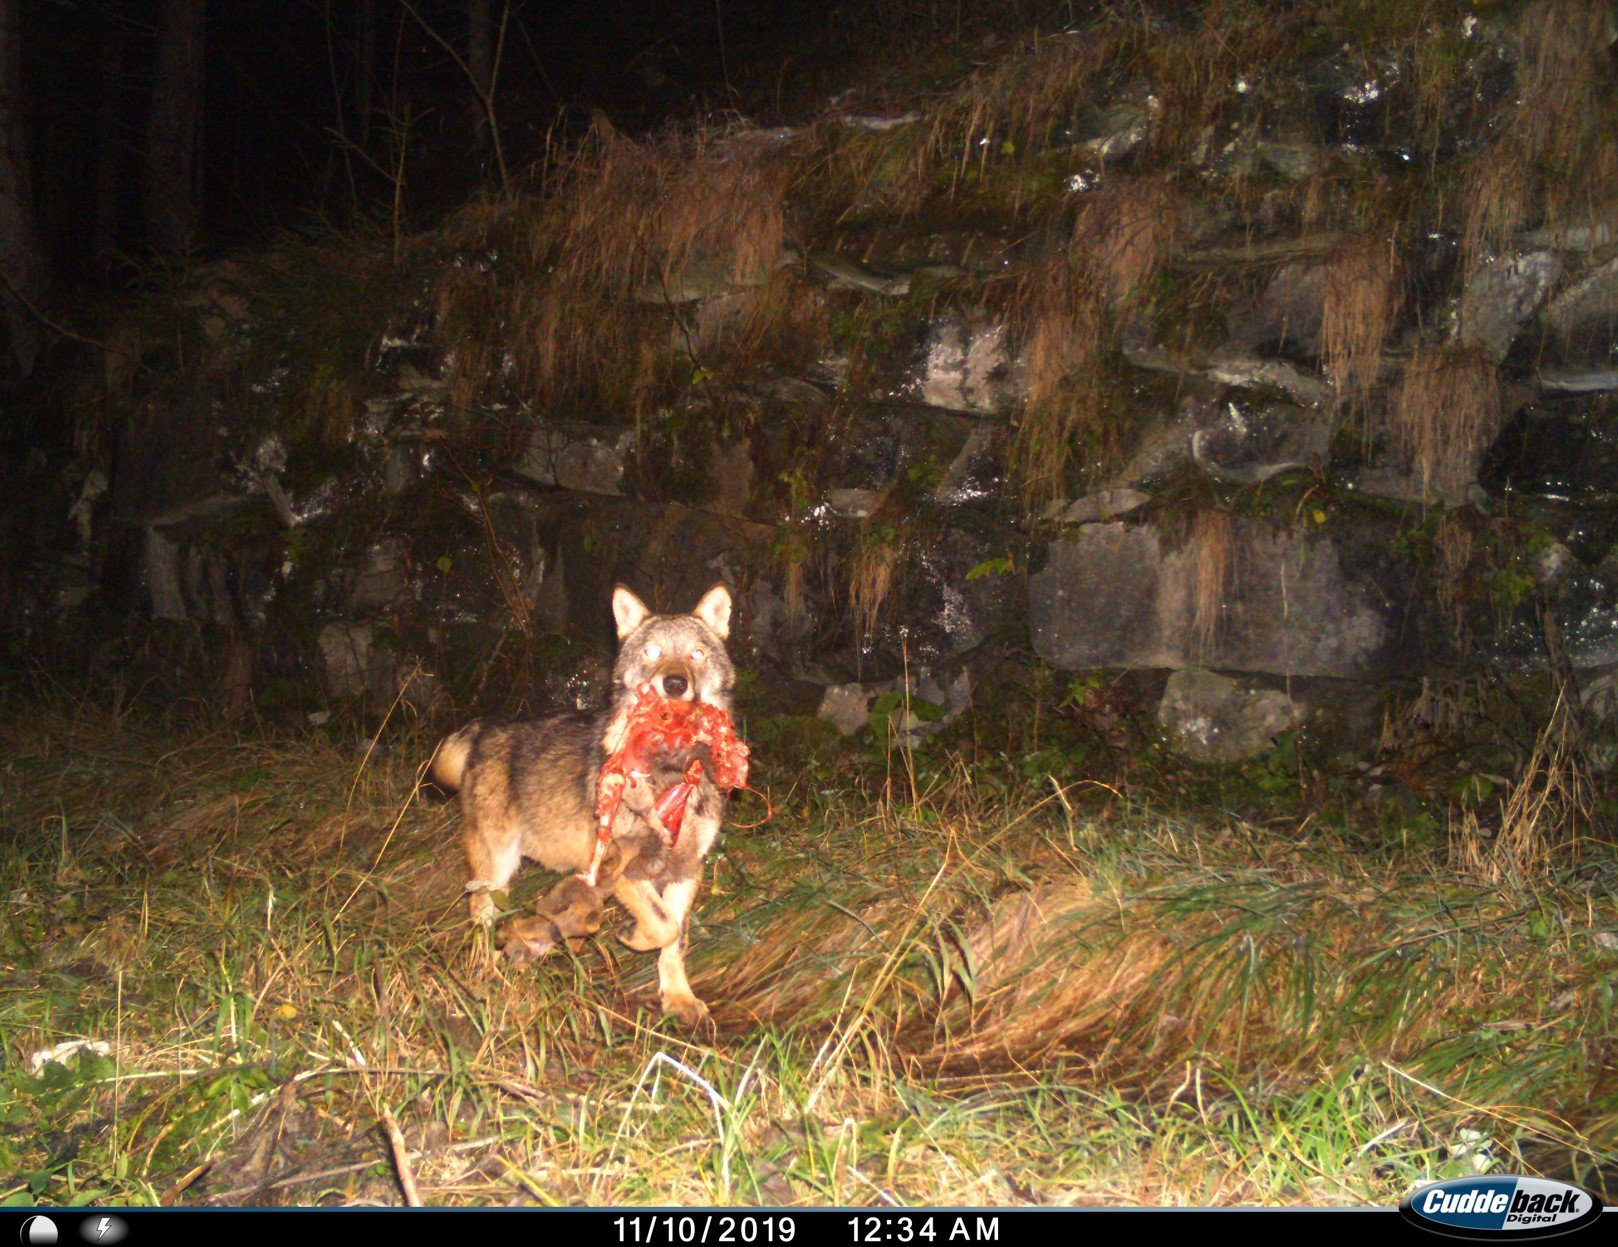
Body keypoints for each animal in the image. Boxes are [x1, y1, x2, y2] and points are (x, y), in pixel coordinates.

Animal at [430, 584, 738, 1028]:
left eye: (696, 654)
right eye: (652, 652)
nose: (675, 683)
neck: (669, 771)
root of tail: (482, 728)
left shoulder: (686, 869)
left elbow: (675, 938)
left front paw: (678, 999)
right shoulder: (623, 868)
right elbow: (661, 925)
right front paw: (632, 935)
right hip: (497, 865)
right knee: (480, 913)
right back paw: (487, 977)